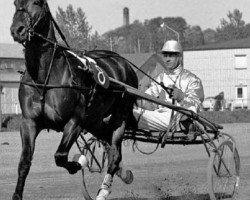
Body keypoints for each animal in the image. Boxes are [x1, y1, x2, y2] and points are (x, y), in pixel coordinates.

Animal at [9, 0, 138, 199]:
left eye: (36, 2)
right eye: (15, 3)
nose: (18, 29)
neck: (44, 77)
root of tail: (123, 62)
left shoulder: (75, 121)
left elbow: (60, 156)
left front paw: (78, 164)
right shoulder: (29, 122)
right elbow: (24, 162)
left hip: (119, 115)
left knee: (115, 153)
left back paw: (103, 191)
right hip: (94, 120)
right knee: (108, 142)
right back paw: (124, 174)